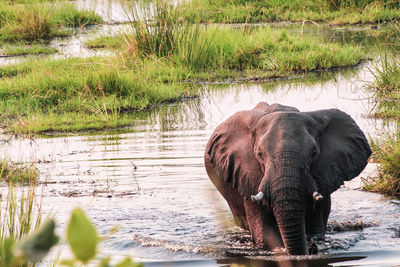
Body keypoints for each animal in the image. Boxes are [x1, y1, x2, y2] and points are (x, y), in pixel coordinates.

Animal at [205, 102, 370, 255]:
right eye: (260, 155)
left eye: (314, 154)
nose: (311, 248)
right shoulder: (248, 176)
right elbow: (264, 234)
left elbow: (316, 228)